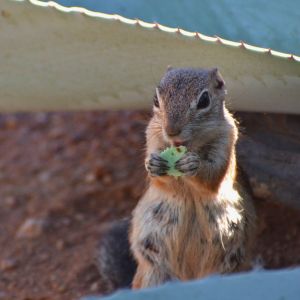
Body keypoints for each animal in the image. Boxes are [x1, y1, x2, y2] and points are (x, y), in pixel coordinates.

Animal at [96, 67, 255, 290]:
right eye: (156, 99)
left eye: (204, 100)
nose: (171, 131)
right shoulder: (152, 138)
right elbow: (159, 181)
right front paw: (153, 165)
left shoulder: (226, 142)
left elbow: (214, 176)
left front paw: (193, 165)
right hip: (154, 275)